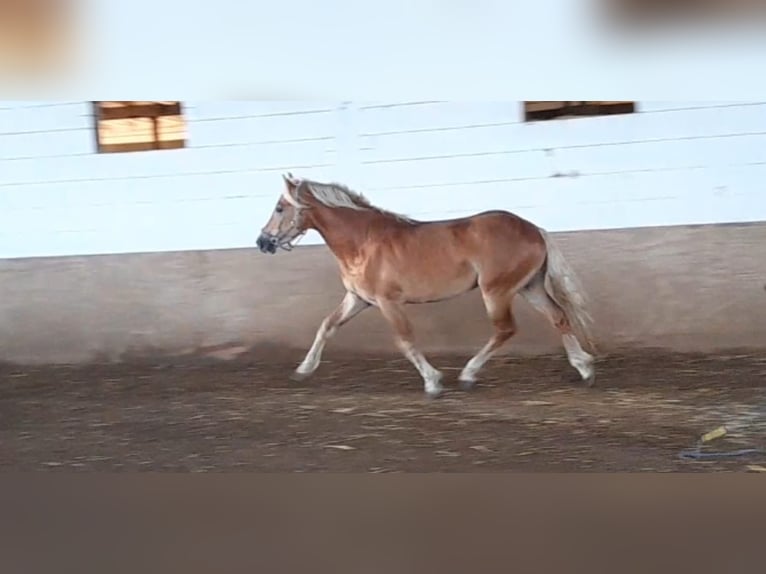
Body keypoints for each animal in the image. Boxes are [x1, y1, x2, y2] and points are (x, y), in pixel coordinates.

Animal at [255, 174, 596, 400]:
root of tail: (535, 230)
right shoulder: (357, 299)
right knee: (558, 316)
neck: (363, 241)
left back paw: (468, 375)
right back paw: (584, 368)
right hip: (529, 287)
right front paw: (303, 369)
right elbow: (326, 326)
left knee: (505, 329)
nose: (262, 242)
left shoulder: (388, 302)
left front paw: (433, 382)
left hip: (497, 291)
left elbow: (405, 341)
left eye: (280, 207)